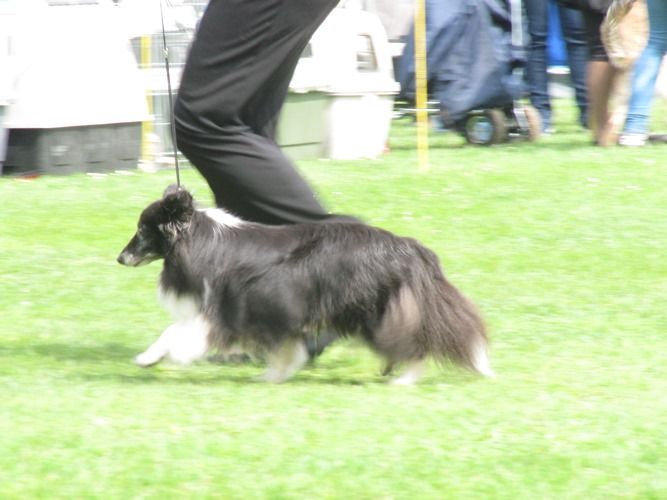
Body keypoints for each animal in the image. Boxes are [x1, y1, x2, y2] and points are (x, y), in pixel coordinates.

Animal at [115, 186, 494, 384]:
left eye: (143, 230)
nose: (120, 258)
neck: (200, 239)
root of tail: (410, 247)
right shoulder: (272, 311)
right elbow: (285, 348)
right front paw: (274, 376)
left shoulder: (225, 310)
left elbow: (177, 332)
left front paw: (149, 358)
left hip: (374, 311)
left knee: (413, 343)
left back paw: (404, 378)